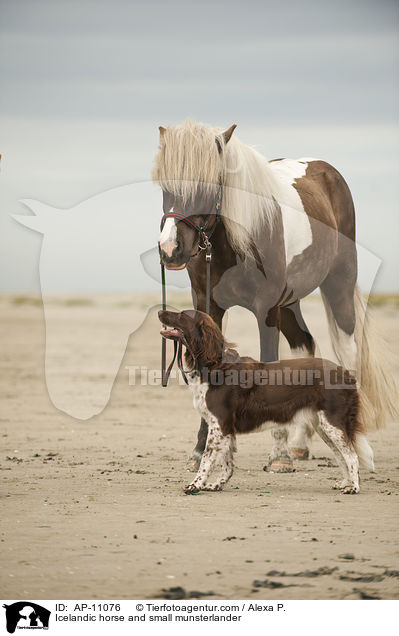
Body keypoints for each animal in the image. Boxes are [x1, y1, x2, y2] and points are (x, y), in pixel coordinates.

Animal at [153, 119, 396, 470]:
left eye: (208, 185)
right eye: (164, 186)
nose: (170, 250)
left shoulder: (266, 310)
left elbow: (269, 365)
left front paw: (278, 454)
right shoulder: (208, 307)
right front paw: (201, 450)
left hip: (339, 284)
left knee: (349, 353)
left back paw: (354, 448)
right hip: (291, 303)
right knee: (305, 346)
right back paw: (300, 443)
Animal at [159, 310, 376, 494]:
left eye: (182, 315)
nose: (161, 311)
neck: (215, 365)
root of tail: (347, 374)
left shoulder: (219, 425)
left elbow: (206, 460)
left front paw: (195, 485)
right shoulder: (226, 428)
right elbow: (226, 463)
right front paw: (217, 484)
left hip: (333, 423)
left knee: (351, 455)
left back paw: (353, 487)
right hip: (323, 426)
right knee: (341, 456)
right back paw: (345, 483)